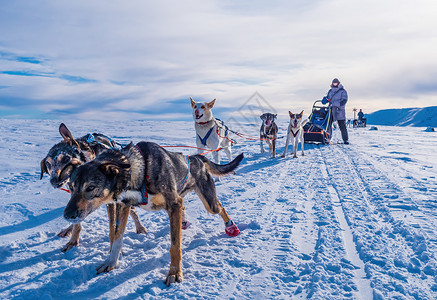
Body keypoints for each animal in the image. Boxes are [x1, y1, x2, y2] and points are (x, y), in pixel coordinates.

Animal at [39, 123, 145, 252]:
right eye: (48, 164)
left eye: (65, 158)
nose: (54, 180)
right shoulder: (75, 195)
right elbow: (76, 222)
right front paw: (73, 241)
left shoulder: (111, 201)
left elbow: (113, 228)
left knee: (132, 210)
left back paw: (140, 227)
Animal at [63, 142, 244, 288]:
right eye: (71, 187)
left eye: (90, 187)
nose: (67, 215)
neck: (139, 170)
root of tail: (196, 158)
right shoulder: (124, 205)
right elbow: (117, 237)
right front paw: (111, 262)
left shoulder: (173, 204)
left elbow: (175, 246)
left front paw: (174, 273)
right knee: (185, 206)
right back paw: (184, 222)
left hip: (208, 203)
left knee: (219, 207)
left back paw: (231, 227)